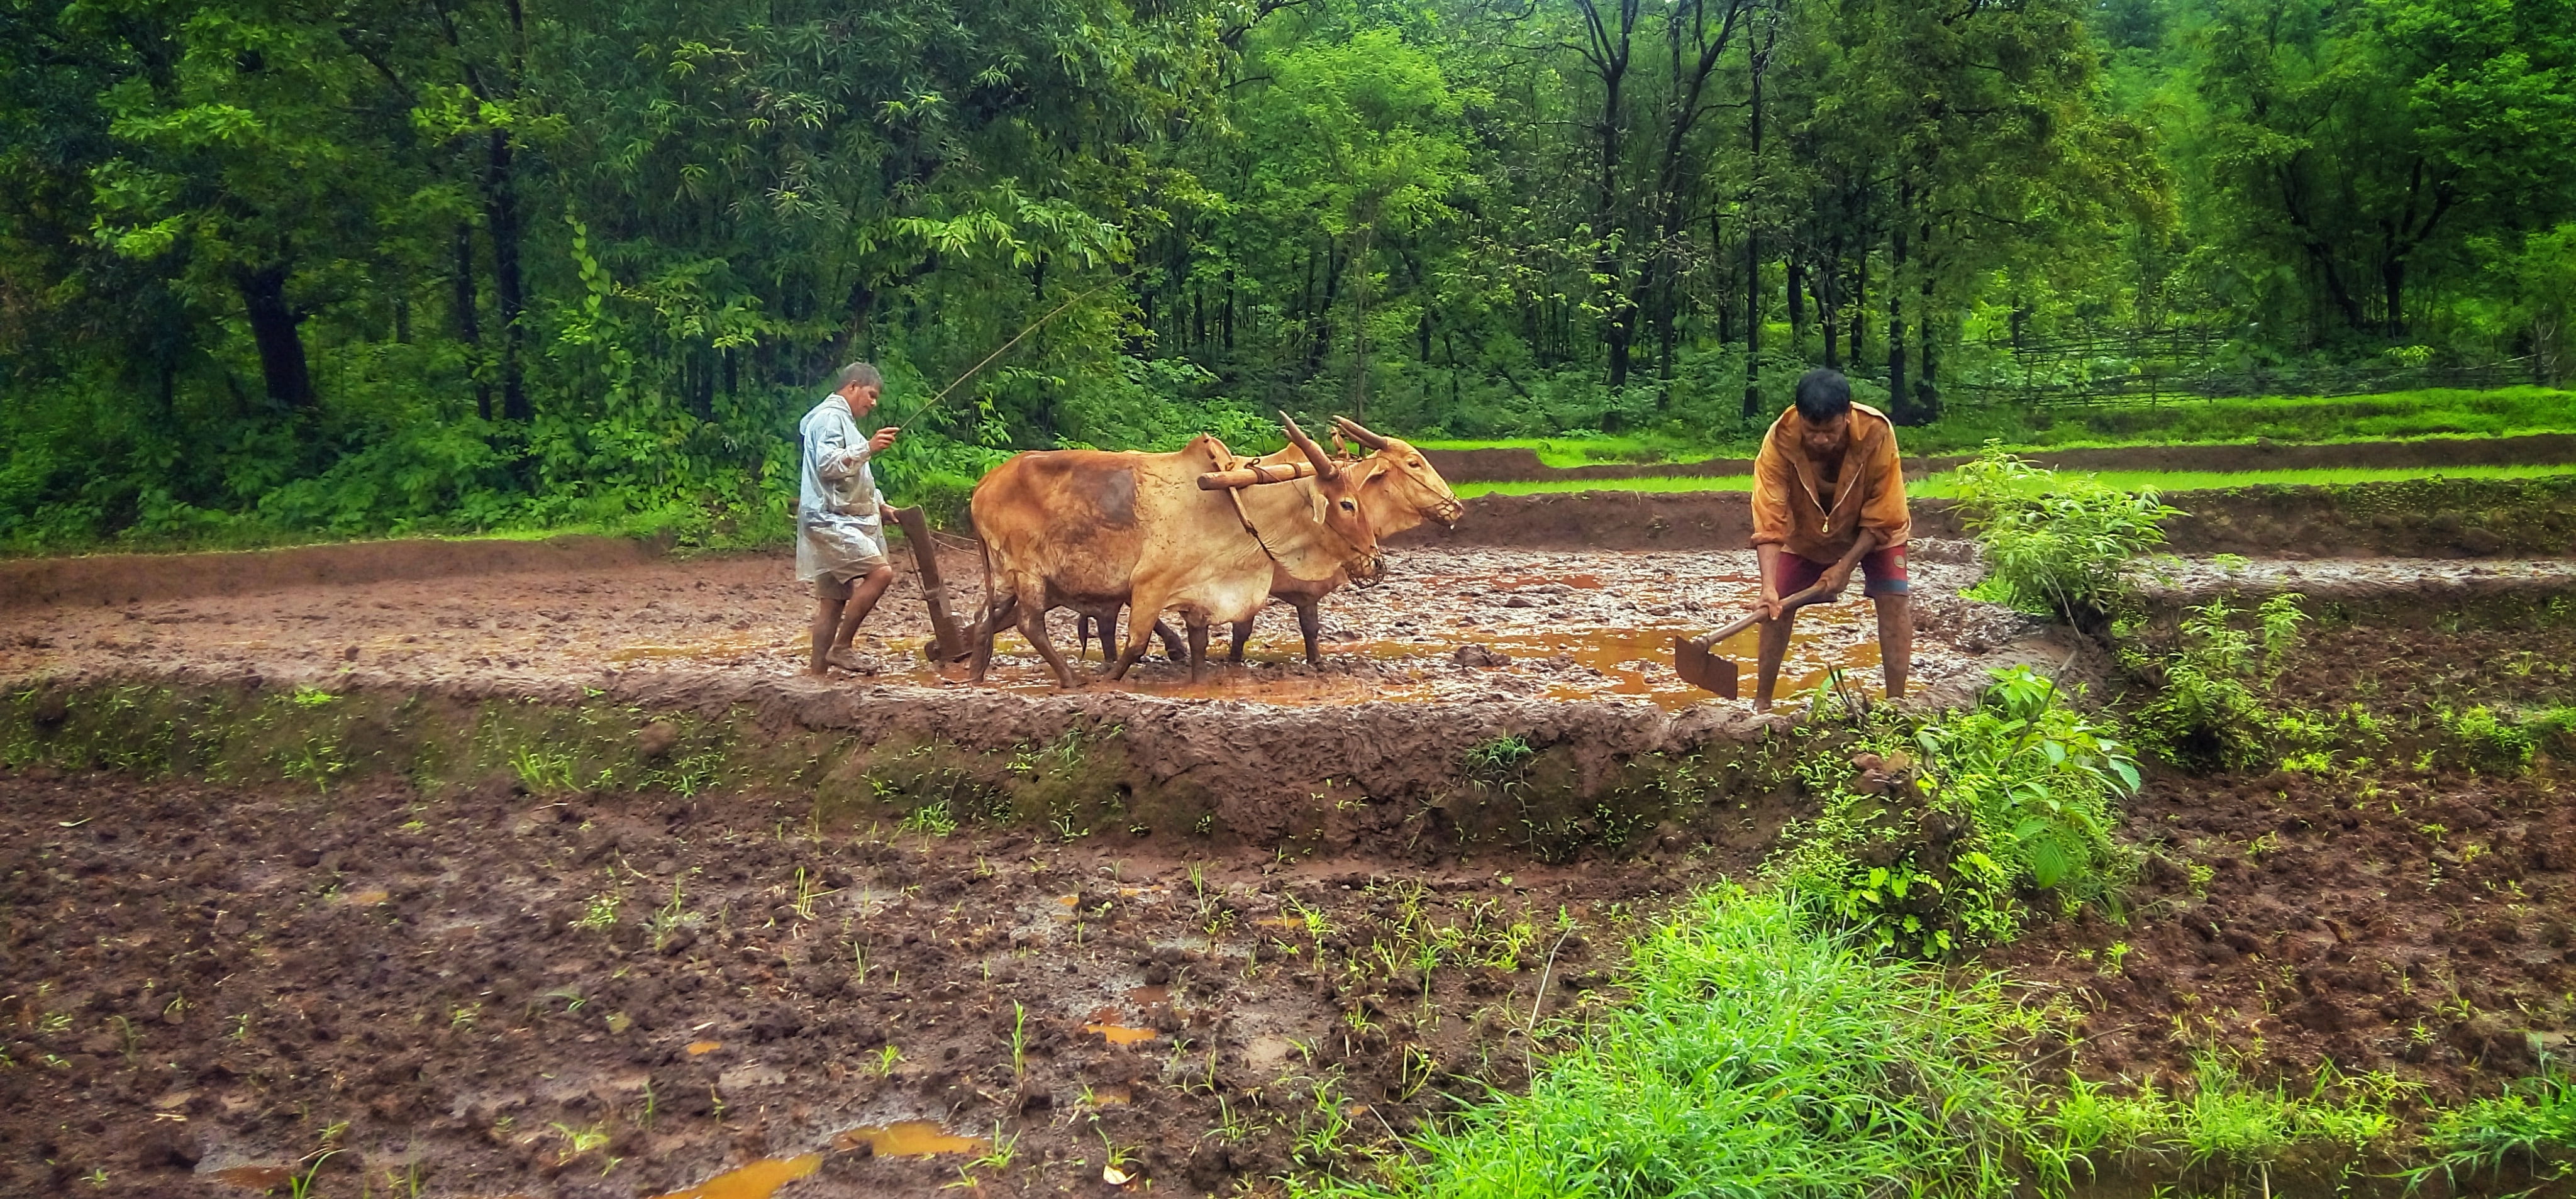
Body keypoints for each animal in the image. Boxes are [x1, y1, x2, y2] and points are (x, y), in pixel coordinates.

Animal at [966, 415, 1379, 687]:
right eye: (1347, 504)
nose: (1375, 564)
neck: (1235, 503)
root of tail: (985, 483)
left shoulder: (1201, 589)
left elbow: (1199, 641)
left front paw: (1198, 680)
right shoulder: (1150, 586)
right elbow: (1135, 644)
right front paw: (1110, 678)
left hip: (1005, 576)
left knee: (985, 616)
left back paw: (975, 672)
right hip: (1028, 572)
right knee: (1029, 624)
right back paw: (1068, 678)